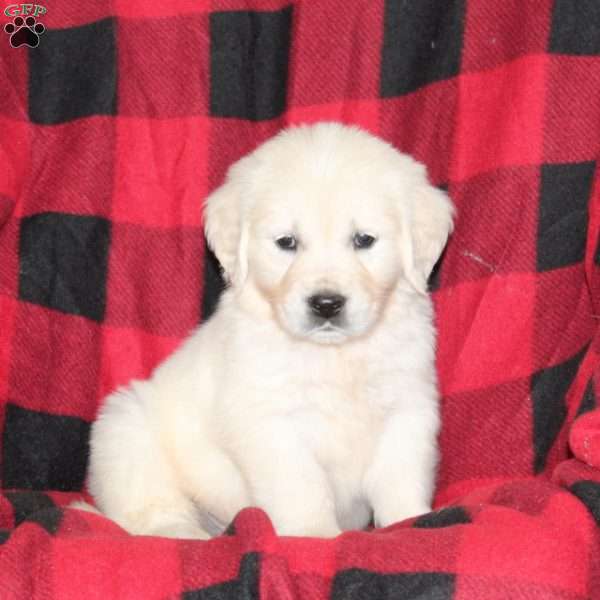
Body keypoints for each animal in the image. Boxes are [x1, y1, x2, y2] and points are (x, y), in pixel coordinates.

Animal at [88, 122, 454, 540]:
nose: (326, 304)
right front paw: (315, 535)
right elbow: (303, 487)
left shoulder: (408, 406)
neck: (334, 354)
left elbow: (401, 478)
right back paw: (182, 531)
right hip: (126, 429)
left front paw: (411, 522)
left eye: (363, 240)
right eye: (286, 242)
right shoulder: (271, 423)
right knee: (148, 506)